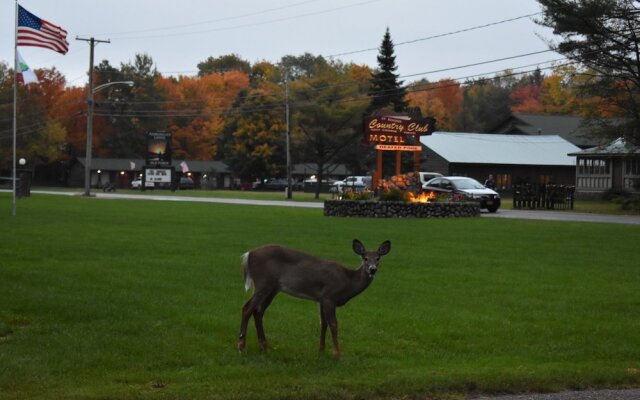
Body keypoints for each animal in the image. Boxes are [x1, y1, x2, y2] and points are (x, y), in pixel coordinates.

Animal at [238, 239, 390, 358]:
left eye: (378, 258)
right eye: (364, 258)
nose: (372, 269)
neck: (348, 282)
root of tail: (247, 255)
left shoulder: (321, 299)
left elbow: (323, 323)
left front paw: (321, 351)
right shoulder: (330, 296)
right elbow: (333, 324)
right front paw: (337, 354)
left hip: (272, 288)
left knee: (258, 311)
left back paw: (265, 348)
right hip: (264, 283)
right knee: (247, 308)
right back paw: (241, 347)